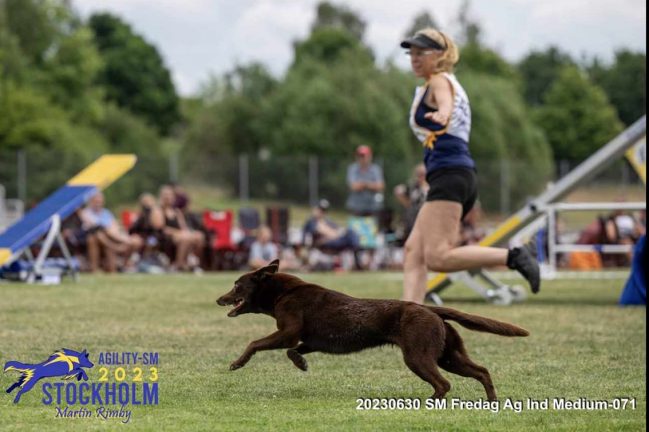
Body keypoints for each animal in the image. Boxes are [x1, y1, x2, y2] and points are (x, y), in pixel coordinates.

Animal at [218, 258, 528, 400]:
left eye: (236, 285)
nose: (219, 299)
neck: (282, 293)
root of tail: (430, 309)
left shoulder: (287, 332)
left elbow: (255, 343)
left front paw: (236, 363)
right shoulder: (310, 340)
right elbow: (295, 352)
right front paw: (301, 363)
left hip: (418, 356)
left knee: (444, 384)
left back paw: (429, 402)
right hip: (449, 356)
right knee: (482, 371)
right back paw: (492, 402)